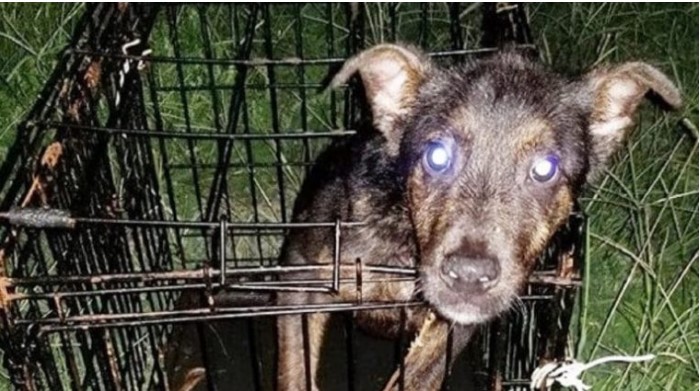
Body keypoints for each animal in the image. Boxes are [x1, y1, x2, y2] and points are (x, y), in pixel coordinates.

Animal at [274, 43, 680, 391]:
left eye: (545, 169)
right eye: (437, 156)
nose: (469, 275)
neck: (405, 239)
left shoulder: (454, 326)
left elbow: (419, 373)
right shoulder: (301, 277)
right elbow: (295, 369)